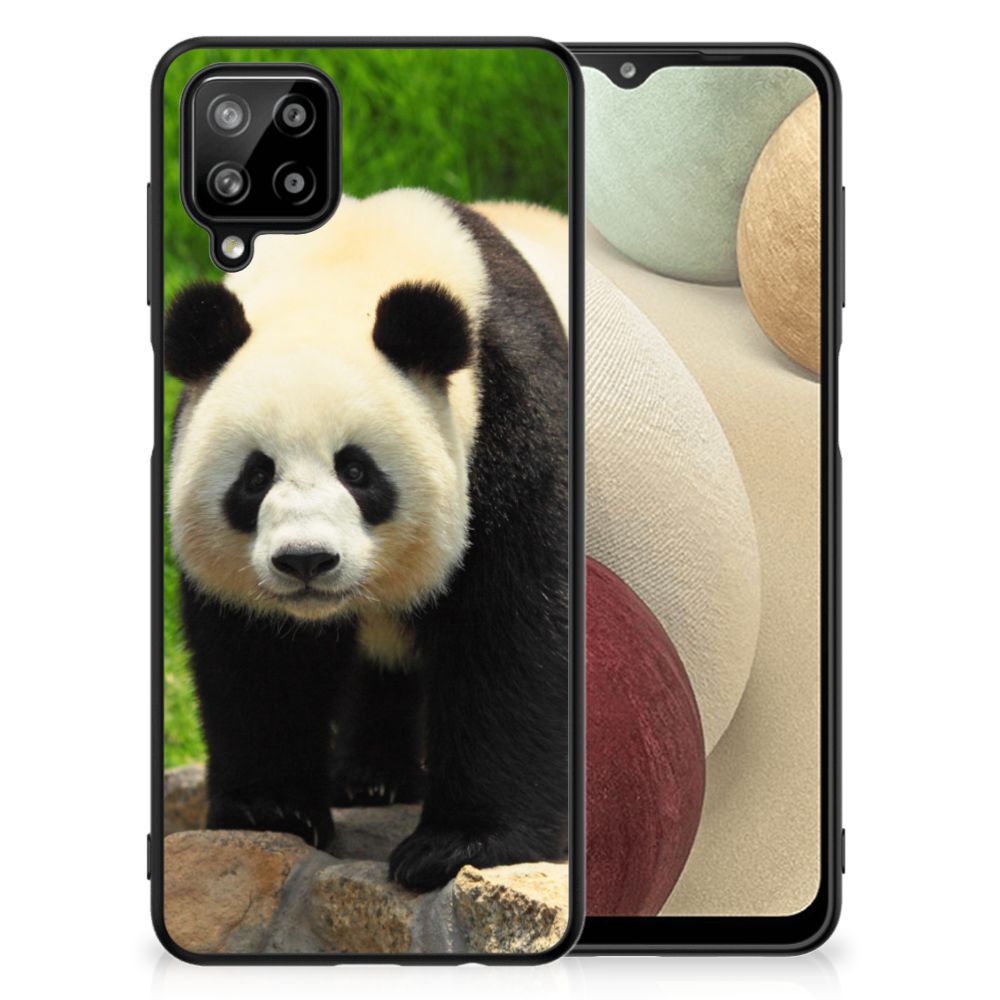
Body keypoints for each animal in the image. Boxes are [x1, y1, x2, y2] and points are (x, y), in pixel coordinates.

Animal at [165, 188, 570, 891]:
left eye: (356, 471)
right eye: (255, 476)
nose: (306, 561)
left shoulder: (513, 419)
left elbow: (512, 630)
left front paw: (459, 844)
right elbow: (257, 656)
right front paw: (271, 811)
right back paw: (371, 780)